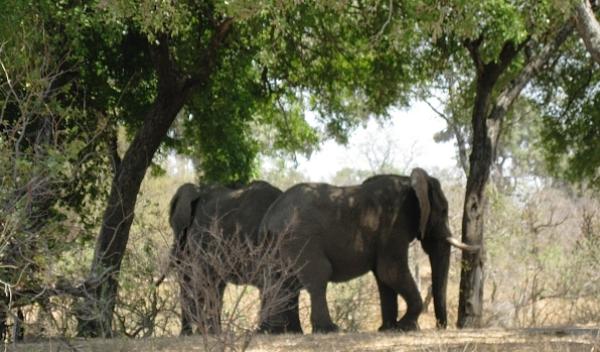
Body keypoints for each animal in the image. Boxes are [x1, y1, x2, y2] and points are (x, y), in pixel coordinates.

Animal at [260, 168, 480, 332]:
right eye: (443, 211)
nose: (441, 326)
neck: (410, 182)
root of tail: (270, 214)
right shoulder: (393, 224)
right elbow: (390, 271)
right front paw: (407, 327)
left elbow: (384, 278)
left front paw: (388, 328)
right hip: (300, 238)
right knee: (317, 276)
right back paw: (329, 329)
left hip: (278, 244)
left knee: (280, 281)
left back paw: (277, 332)